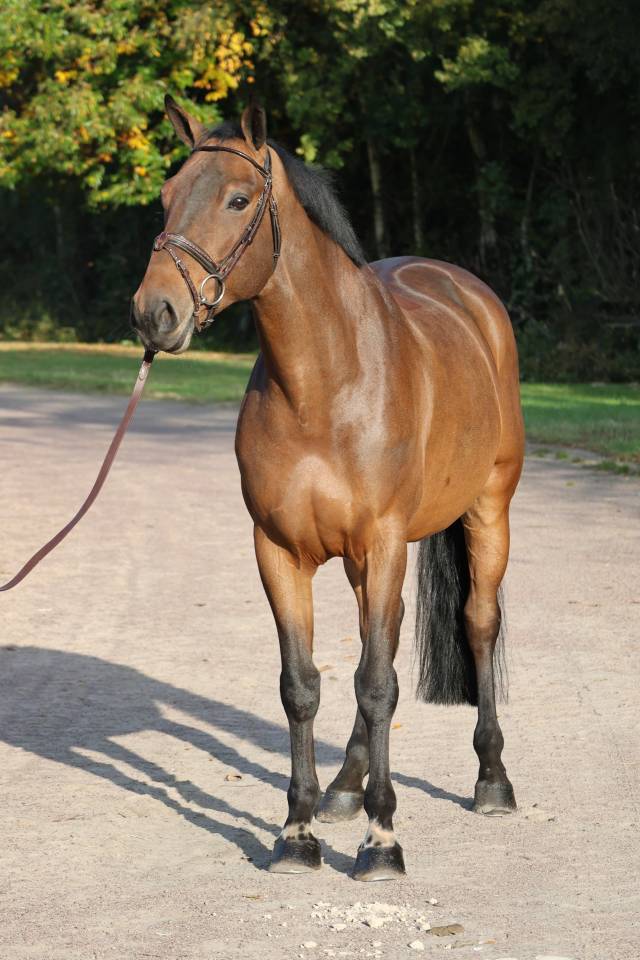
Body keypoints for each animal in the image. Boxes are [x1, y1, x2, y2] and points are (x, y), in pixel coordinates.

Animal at [132, 96, 525, 882]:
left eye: (238, 199)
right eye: (165, 197)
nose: (154, 312)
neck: (323, 385)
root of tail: (467, 291)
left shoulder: (382, 542)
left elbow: (376, 685)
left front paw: (382, 841)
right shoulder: (280, 550)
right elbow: (303, 684)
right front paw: (298, 832)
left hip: (486, 513)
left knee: (476, 622)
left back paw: (491, 782)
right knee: (387, 642)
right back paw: (346, 786)